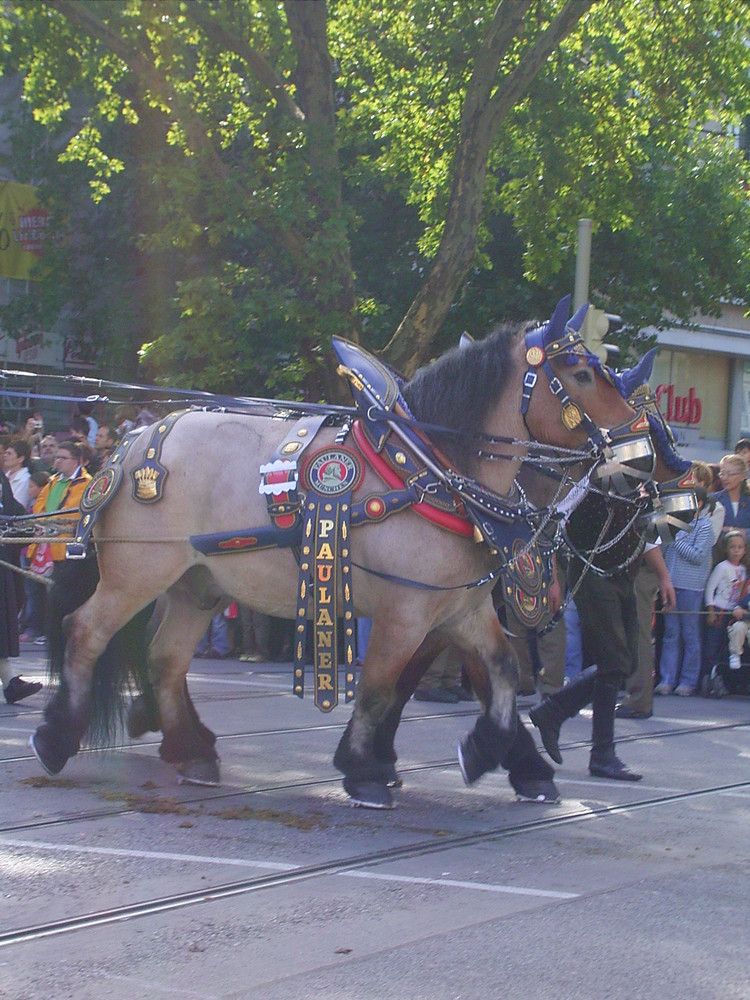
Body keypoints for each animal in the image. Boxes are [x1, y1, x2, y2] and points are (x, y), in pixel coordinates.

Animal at [29, 294, 676, 804]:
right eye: (582, 374)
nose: (644, 456)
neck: (431, 471)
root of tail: (134, 444)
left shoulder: (459, 608)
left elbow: (501, 673)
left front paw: (493, 753)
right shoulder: (405, 612)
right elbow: (381, 685)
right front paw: (365, 768)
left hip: (198, 585)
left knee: (165, 659)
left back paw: (191, 751)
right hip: (140, 571)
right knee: (86, 630)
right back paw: (57, 738)